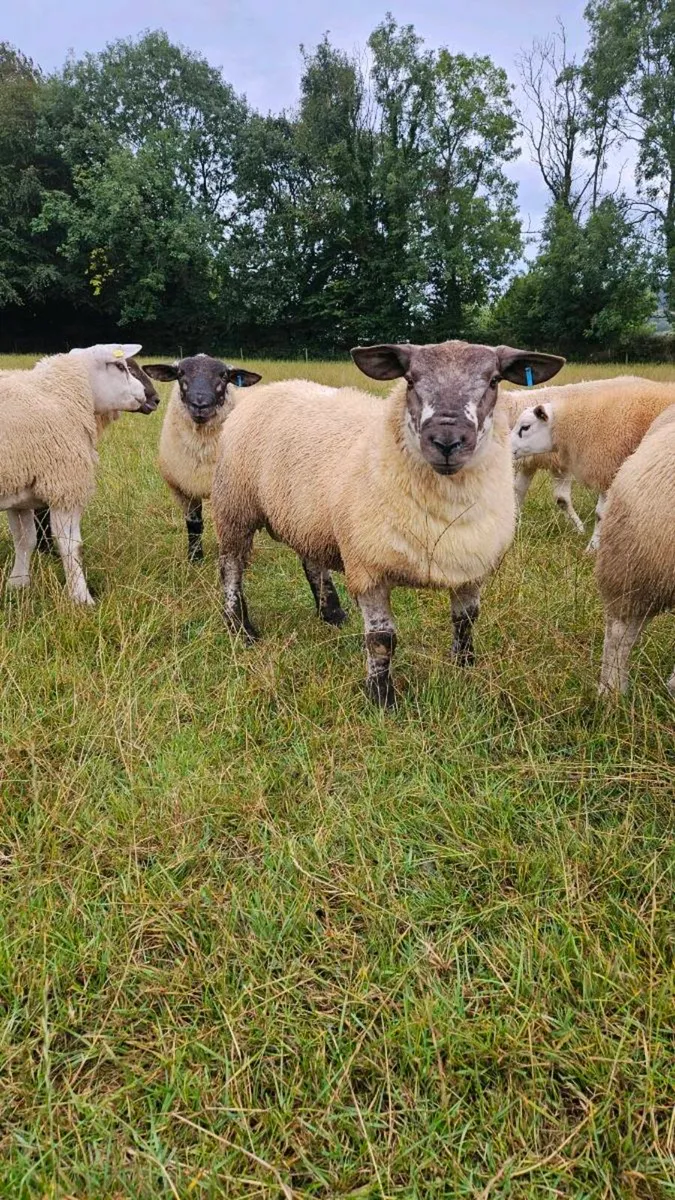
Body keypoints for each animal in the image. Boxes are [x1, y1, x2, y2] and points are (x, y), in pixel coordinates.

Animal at [143, 355, 262, 561]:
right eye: (180, 373)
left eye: (224, 376)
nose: (200, 405)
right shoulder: (184, 487)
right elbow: (194, 524)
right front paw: (195, 558)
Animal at [211, 340, 565, 706]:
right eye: (409, 379)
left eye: (494, 380)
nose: (446, 441)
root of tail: (274, 387)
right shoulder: (368, 568)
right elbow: (382, 640)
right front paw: (381, 697)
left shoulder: (471, 568)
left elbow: (465, 622)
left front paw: (465, 669)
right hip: (234, 507)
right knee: (231, 566)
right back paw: (240, 627)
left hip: (308, 517)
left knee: (311, 561)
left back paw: (331, 613)